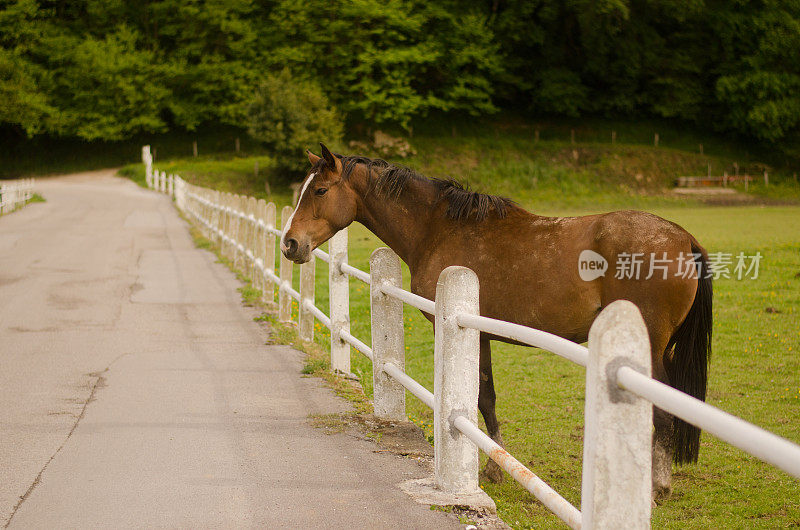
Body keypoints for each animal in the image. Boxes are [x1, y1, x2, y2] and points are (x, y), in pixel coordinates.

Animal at [282, 142, 712, 498]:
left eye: (320, 191)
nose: (290, 244)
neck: (438, 229)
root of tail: (683, 237)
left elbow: (478, 397)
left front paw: (489, 468)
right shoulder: (481, 333)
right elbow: (485, 398)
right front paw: (493, 466)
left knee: (665, 410)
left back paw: (657, 487)